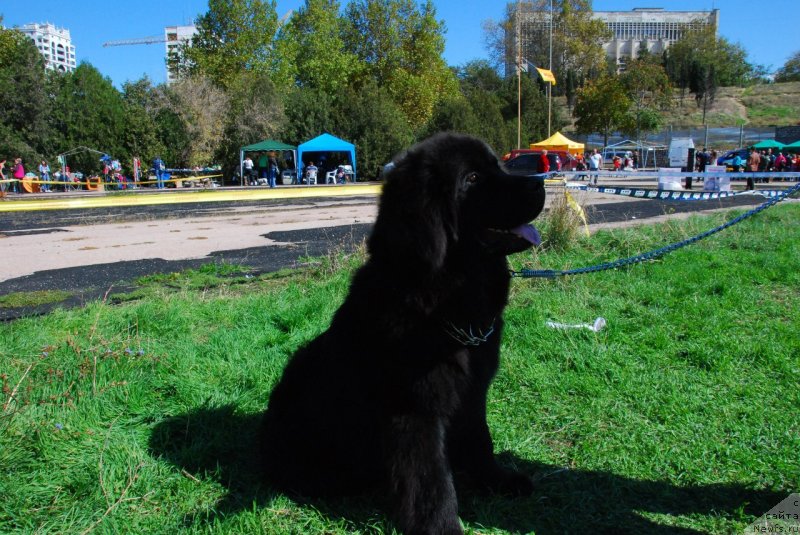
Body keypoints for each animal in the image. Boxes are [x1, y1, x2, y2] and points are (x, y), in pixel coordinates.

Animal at [260, 132, 548, 532]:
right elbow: (431, 481)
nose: (540, 184)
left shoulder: (472, 392)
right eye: (472, 179)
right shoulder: (414, 410)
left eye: (499, 167)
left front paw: (497, 479)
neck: (445, 301)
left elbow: (481, 440)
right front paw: (442, 526)